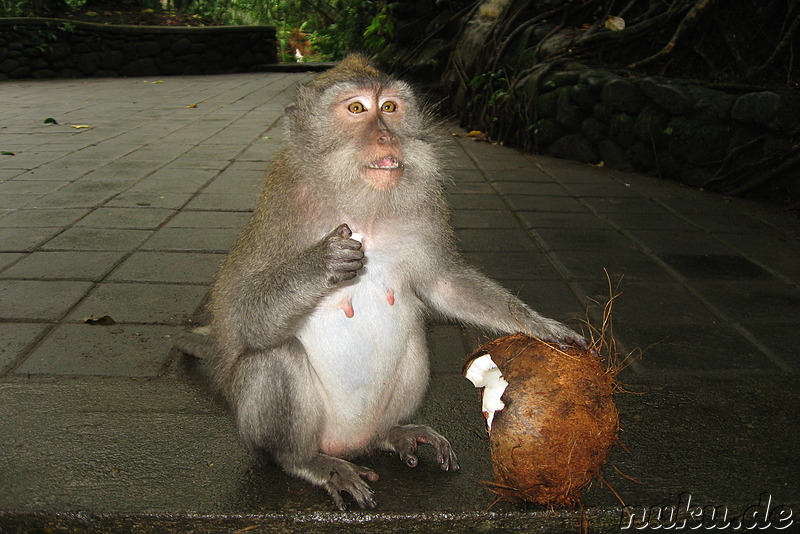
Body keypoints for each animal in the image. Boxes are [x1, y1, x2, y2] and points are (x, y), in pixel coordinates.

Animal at [178, 54, 584, 510]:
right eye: (357, 108)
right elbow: (241, 318)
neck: (363, 204)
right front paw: (319, 264)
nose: (387, 137)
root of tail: (350, 444)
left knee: (414, 340)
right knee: (274, 357)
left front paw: (540, 326)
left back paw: (394, 434)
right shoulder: (279, 211)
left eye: (389, 107)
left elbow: (444, 283)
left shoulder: (427, 206)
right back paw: (306, 461)